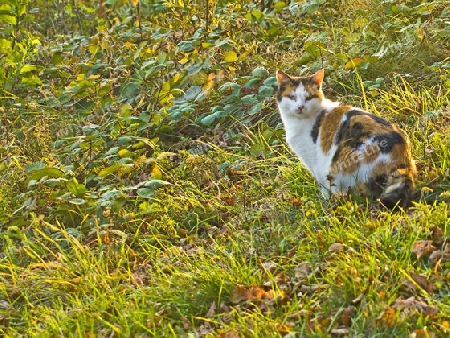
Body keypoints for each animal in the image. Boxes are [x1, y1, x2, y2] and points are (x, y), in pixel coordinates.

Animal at [276, 69, 416, 209]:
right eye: (292, 97)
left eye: (308, 97)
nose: (300, 107)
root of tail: (402, 159)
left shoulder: (313, 161)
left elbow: (322, 185)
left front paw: (325, 202)